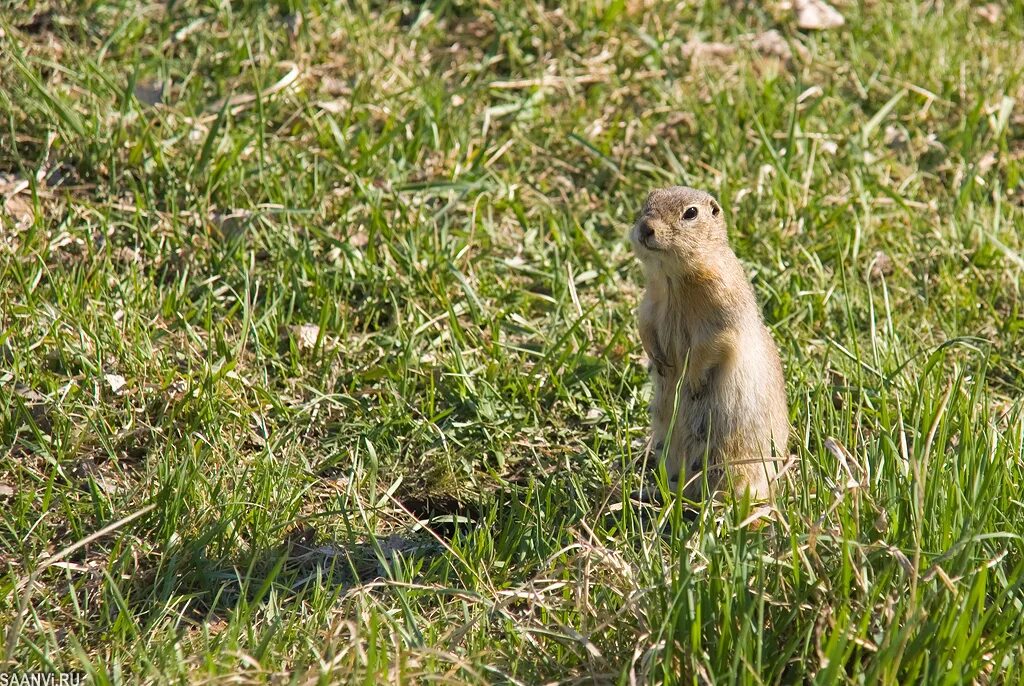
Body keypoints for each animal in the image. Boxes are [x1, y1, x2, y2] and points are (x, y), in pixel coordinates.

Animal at [626, 185, 786, 501]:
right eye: (647, 201)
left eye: (691, 213)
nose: (645, 228)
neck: (675, 279)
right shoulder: (650, 300)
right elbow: (645, 325)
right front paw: (659, 362)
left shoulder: (722, 303)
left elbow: (714, 342)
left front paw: (693, 381)